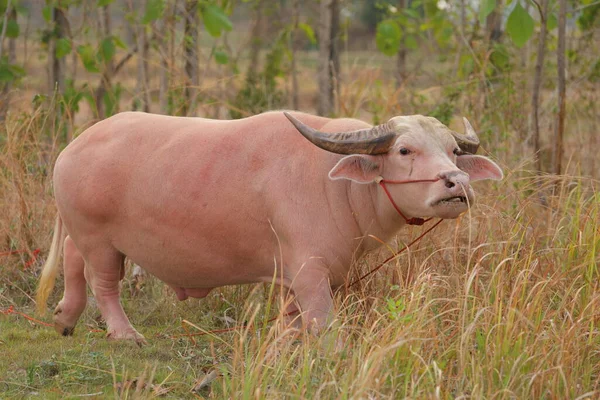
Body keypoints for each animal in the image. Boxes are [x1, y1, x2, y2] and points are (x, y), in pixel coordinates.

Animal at [36, 110, 502, 344]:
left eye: (453, 150)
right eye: (405, 150)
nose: (457, 183)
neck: (338, 185)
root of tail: (72, 147)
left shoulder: (296, 277)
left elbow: (294, 321)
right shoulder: (310, 272)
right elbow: (324, 325)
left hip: (90, 237)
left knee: (73, 261)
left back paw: (65, 318)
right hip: (100, 240)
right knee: (103, 284)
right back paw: (124, 333)